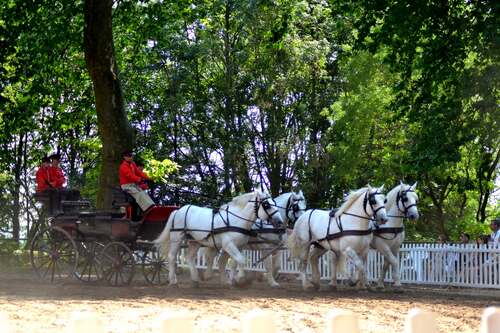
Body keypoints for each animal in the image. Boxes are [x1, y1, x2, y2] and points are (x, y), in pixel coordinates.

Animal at [154, 189, 284, 286]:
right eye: (267, 205)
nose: (280, 221)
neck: (236, 220)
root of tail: (178, 210)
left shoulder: (239, 246)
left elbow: (234, 263)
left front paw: (230, 280)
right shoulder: (228, 245)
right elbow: (240, 260)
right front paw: (240, 279)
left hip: (195, 241)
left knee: (189, 257)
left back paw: (195, 278)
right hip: (177, 238)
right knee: (171, 257)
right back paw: (173, 280)